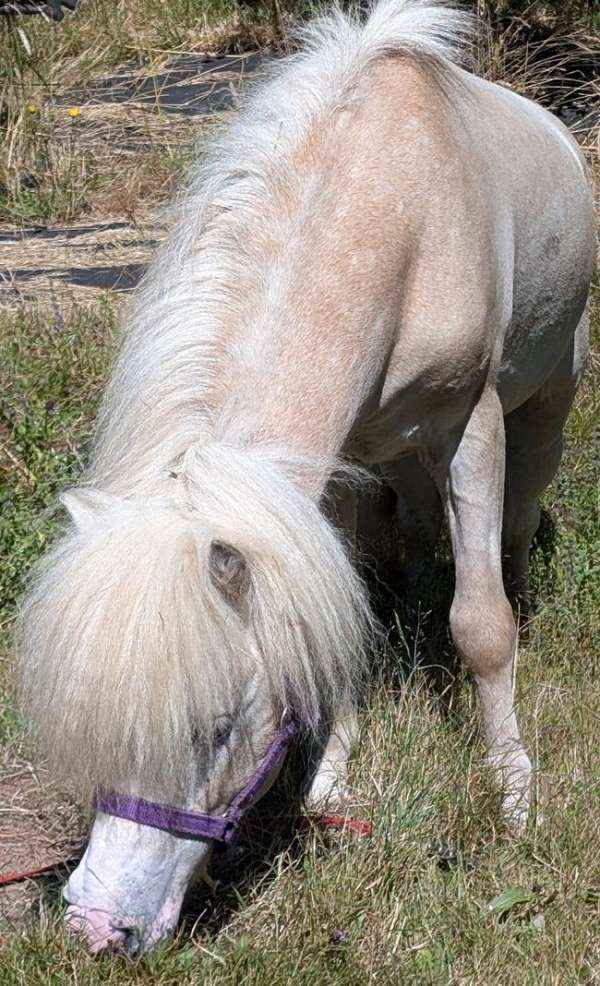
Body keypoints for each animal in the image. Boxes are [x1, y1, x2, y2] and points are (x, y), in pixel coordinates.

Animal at [17, 0, 595, 956]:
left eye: (216, 728)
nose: (100, 926)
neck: (393, 221)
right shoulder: (332, 470)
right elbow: (338, 619)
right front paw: (331, 786)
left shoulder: (470, 430)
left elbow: (481, 625)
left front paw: (513, 793)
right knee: (408, 537)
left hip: (546, 404)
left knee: (515, 522)